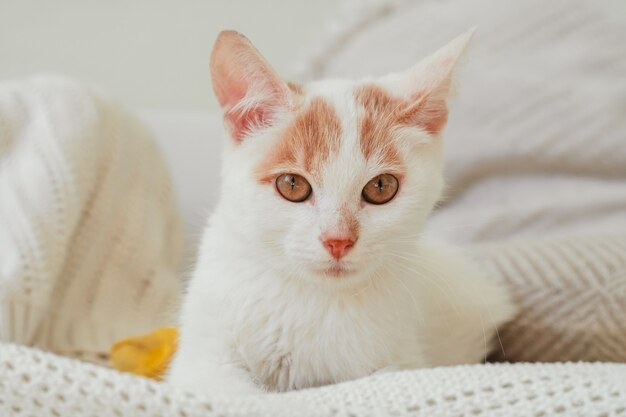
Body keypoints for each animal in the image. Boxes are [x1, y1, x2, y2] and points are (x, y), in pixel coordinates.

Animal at [168, 28, 516, 394]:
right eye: (292, 184)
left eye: (381, 187)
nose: (338, 240)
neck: (312, 299)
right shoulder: (201, 359)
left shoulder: (402, 361)